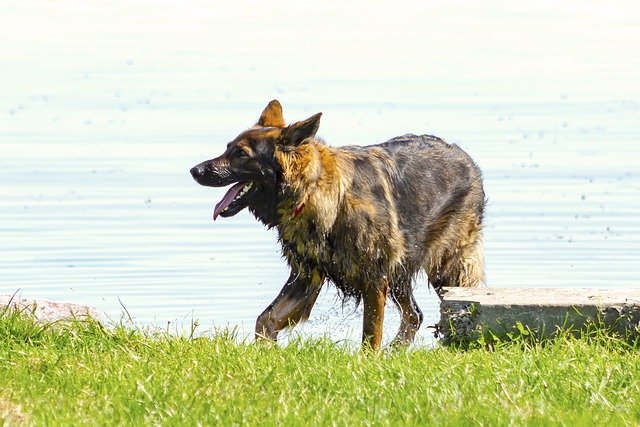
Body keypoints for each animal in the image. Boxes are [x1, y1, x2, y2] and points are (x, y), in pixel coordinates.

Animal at [190, 100, 484, 352]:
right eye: (228, 148)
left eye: (241, 154)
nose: (194, 171)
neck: (311, 191)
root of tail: (466, 158)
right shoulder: (305, 277)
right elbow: (266, 319)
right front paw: (264, 353)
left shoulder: (374, 280)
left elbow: (370, 337)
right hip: (400, 272)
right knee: (414, 315)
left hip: (446, 270)